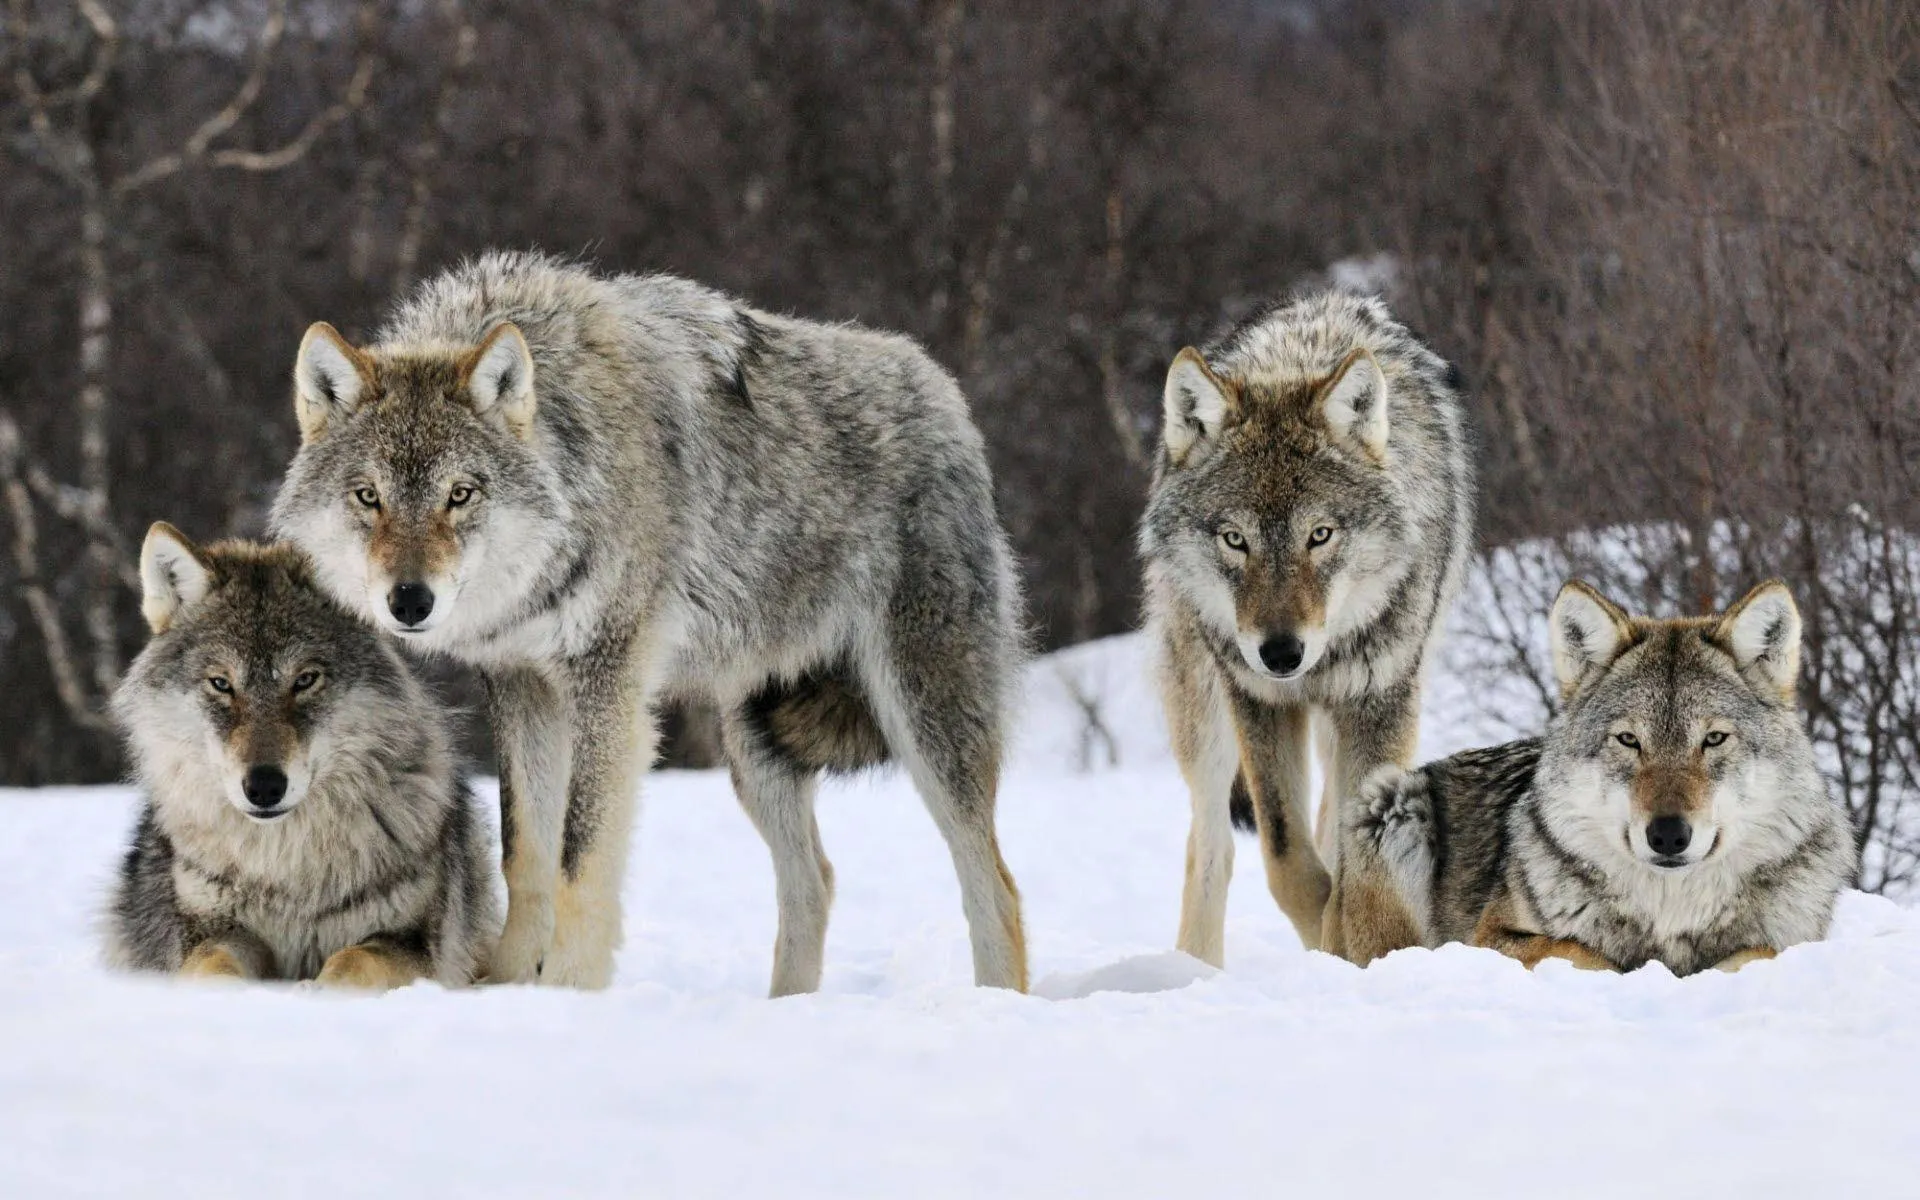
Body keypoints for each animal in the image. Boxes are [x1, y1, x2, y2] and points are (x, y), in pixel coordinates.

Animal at [105, 525, 498, 988]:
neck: (286, 868)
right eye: (221, 684)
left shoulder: (411, 943)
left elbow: (353, 961)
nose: (264, 786)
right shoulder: (214, 931)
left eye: (306, 680)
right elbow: (213, 966)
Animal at [270, 251, 1027, 994]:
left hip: (923, 721)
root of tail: (944, 392)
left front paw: (567, 992)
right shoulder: (521, 685)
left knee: (995, 885)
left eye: (460, 494)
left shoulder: (609, 684)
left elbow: (580, 858)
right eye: (368, 496)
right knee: (816, 880)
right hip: (754, 749)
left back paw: (996, 1001)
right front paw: (508, 986)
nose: (409, 601)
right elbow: (526, 853)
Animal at [1140, 292, 1472, 966]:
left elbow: (1351, 856)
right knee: (1210, 845)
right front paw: (1326, 936)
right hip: (1204, 712)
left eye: (1320, 535)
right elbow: (1287, 858)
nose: (1281, 653)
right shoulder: (1259, 701)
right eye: (1234, 539)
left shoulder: (1381, 700)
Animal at [1342, 579, 1858, 974]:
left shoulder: (1790, 942)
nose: (1667, 835)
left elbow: (1759, 952)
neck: (1670, 914)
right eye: (1629, 740)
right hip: (1392, 803)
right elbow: (1582, 951)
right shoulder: (1490, 937)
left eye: (1713, 739)